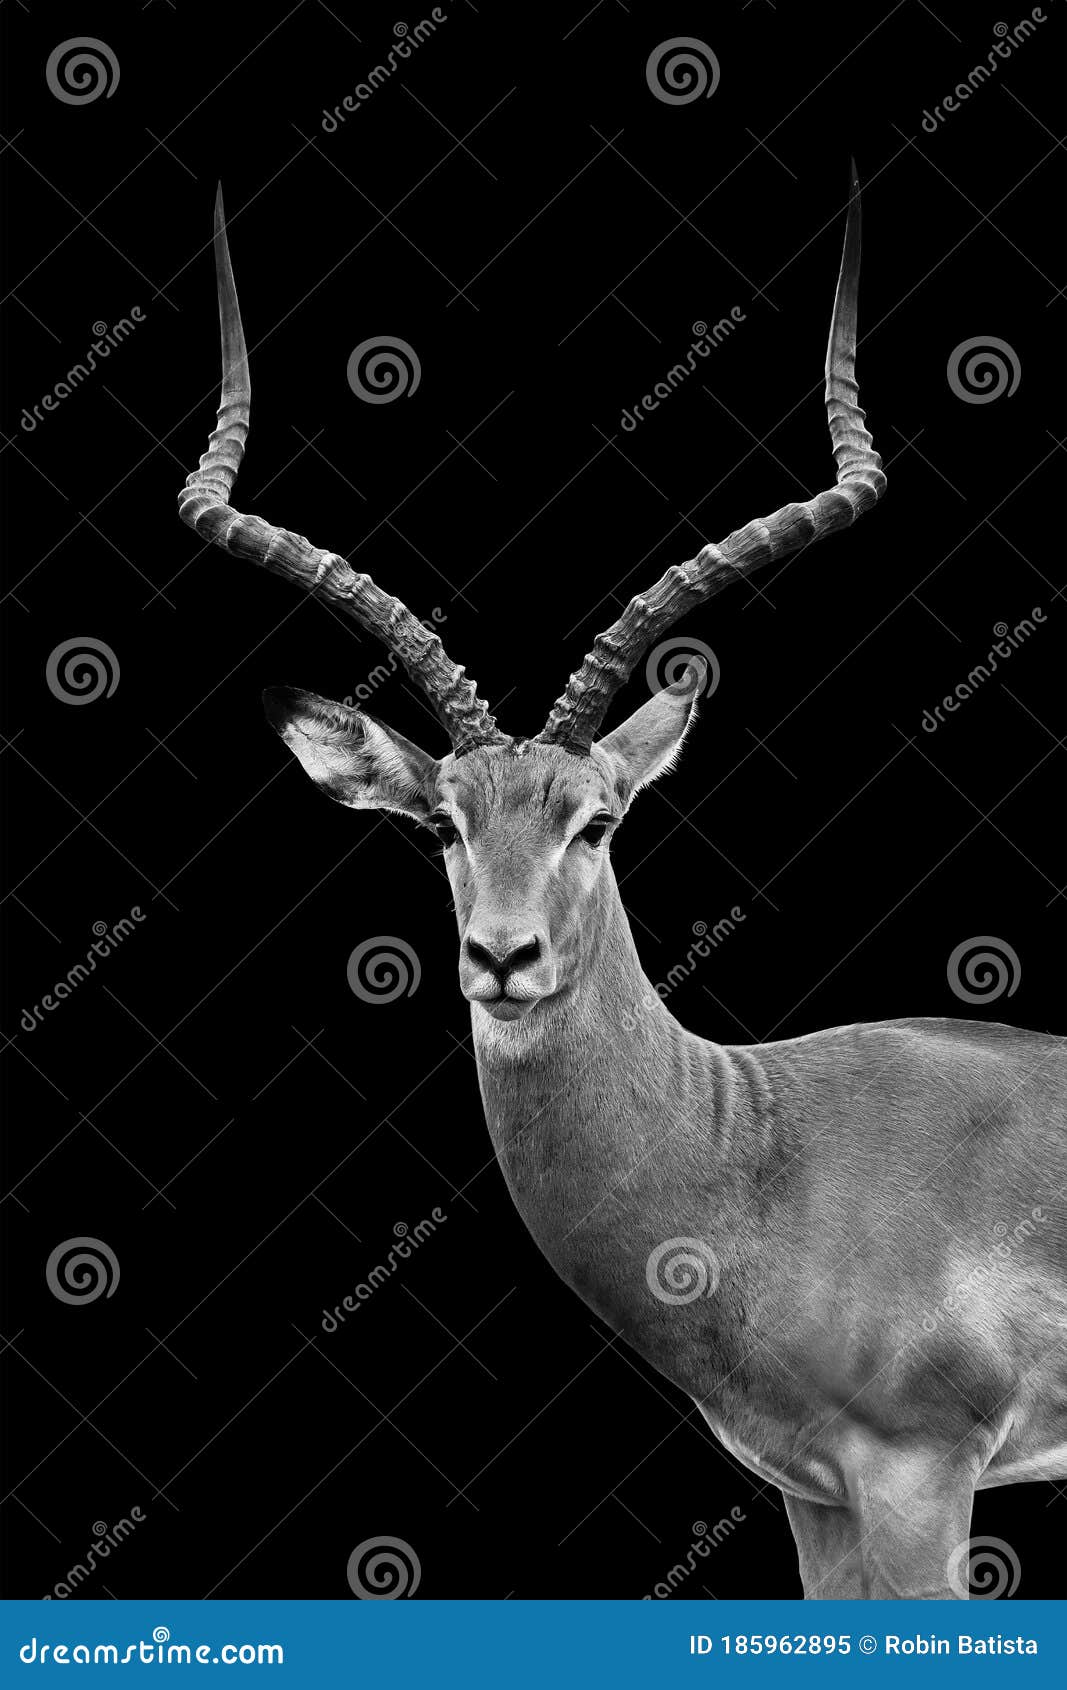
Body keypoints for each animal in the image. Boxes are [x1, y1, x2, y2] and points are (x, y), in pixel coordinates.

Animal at [179, 174, 1067, 1600]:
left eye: (593, 821)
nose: (502, 958)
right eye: (439, 825)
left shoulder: (922, 1474)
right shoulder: (814, 1494)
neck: (758, 1152)